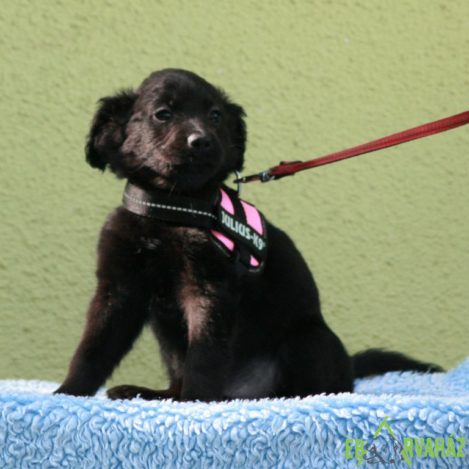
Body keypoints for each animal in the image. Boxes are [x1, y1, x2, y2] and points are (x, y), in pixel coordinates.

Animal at [55, 69, 441, 401]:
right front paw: (68, 393)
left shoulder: (210, 289)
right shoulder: (118, 289)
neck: (171, 210)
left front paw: (195, 403)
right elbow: (93, 349)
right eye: (162, 114)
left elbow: (203, 357)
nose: (201, 142)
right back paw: (150, 393)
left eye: (215, 116)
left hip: (308, 340)